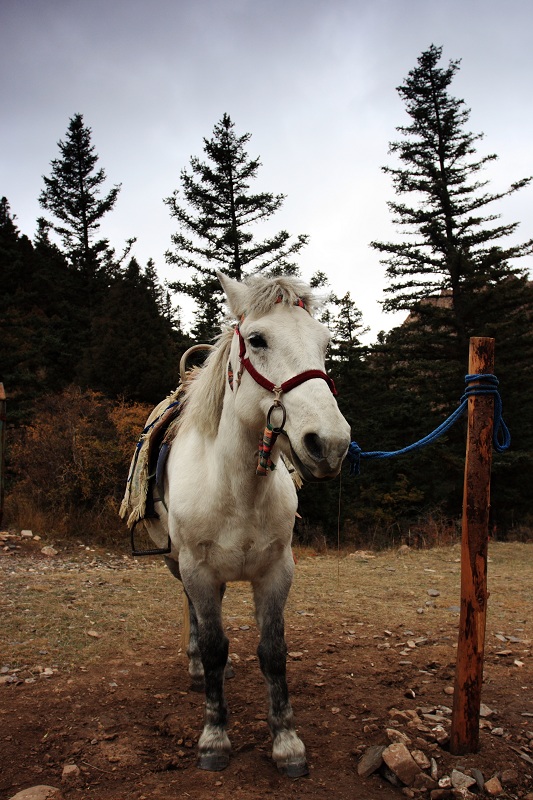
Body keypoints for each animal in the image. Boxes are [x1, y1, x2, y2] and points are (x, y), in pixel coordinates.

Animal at [136, 272, 350, 780]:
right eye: (257, 340)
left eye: (325, 343)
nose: (330, 444)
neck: (237, 491)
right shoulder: (197, 570)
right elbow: (215, 646)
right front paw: (214, 738)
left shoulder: (276, 572)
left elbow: (273, 652)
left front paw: (287, 743)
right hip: (177, 564)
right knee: (195, 616)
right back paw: (197, 670)